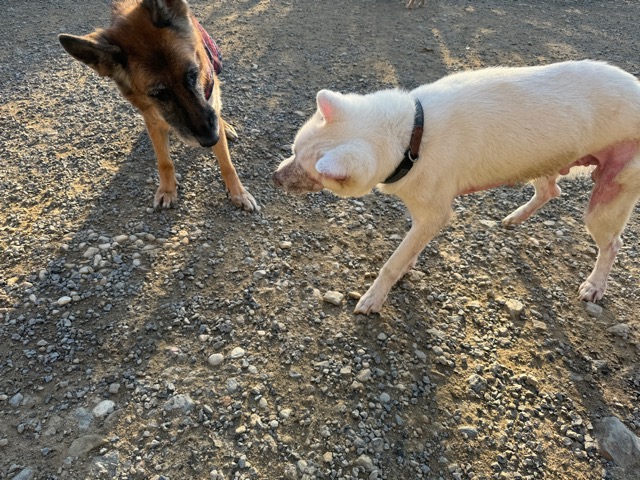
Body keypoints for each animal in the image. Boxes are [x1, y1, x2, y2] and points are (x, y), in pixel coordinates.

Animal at [58, 0, 258, 211]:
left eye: (193, 74)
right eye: (159, 94)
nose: (211, 139)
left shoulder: (208, 98)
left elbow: (227, 163)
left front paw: (238, 192)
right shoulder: (152, 119)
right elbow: (164, 162)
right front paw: (167, 190)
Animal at [273, 60, 640, 314]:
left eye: (310, 173)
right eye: (292, 151)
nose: (274, 178)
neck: (412, 133)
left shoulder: (435, 213)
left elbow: (393, 261)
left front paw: (374, 298)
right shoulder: (425, 216)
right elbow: (410, 251)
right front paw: (406, 268)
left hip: (608, 198)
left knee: (613, 244)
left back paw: (595, 285)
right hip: (543, 160)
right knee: (551, 190)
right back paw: (516, 217)